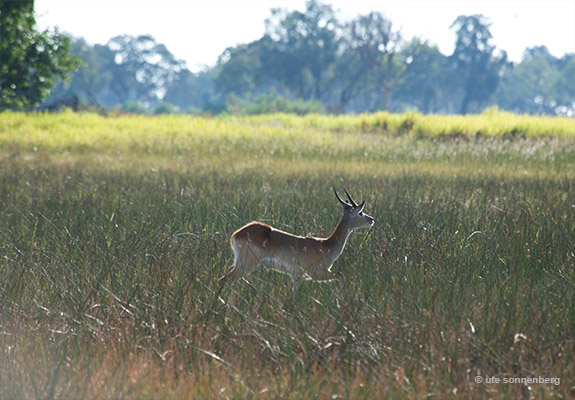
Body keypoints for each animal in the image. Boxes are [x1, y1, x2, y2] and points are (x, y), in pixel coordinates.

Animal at [218, 188, 376, 290]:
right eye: (360, 212)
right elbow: (341, 276)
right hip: (246, 265)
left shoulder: (297, 277)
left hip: (240, 264)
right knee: (224, 280)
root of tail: (236, 234)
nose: (372, 219)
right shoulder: (317, 274)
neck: (327, 245)